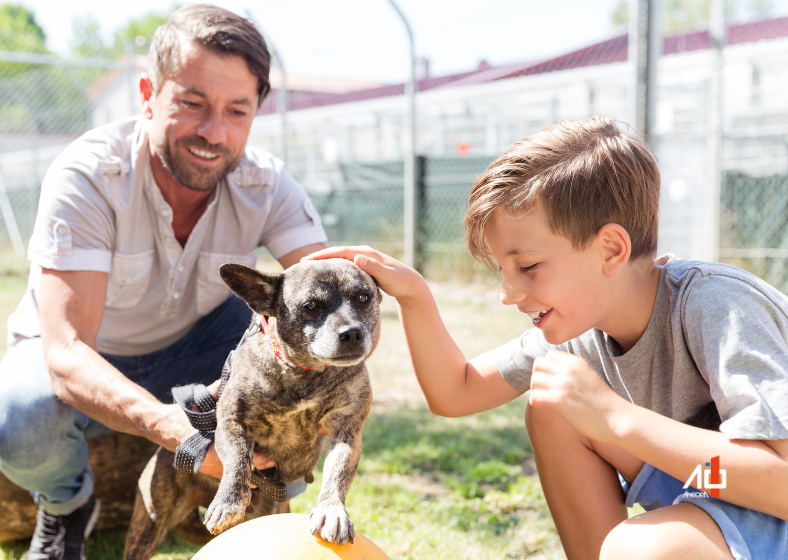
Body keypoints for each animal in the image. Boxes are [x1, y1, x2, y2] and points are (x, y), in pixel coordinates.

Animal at [124, 260, 380, 556]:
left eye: (364, 298)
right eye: (311, 306)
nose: (352, 333)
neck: (303, 372)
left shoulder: (346, 431)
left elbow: (337, 473)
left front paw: (331, 511)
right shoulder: (232, 423)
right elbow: (239, 459)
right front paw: (229, 501)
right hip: (149, 523)